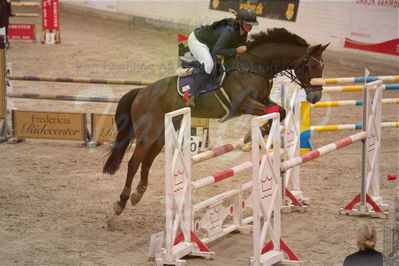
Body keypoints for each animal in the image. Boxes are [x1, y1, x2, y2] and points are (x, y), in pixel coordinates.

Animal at [104, 28, 330, 215]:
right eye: (311, 66)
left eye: (322, 67)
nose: (315, 97)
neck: (255, 65)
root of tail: (142, 92)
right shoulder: (244, 104)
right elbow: (273, 111)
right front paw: (250, 136)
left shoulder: (263, 99)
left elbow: (280, 111)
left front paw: (258, 133)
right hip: (147, 133)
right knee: (134, 162)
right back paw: (122, 202)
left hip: (161, 134)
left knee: (147, 161)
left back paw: (138, 194)